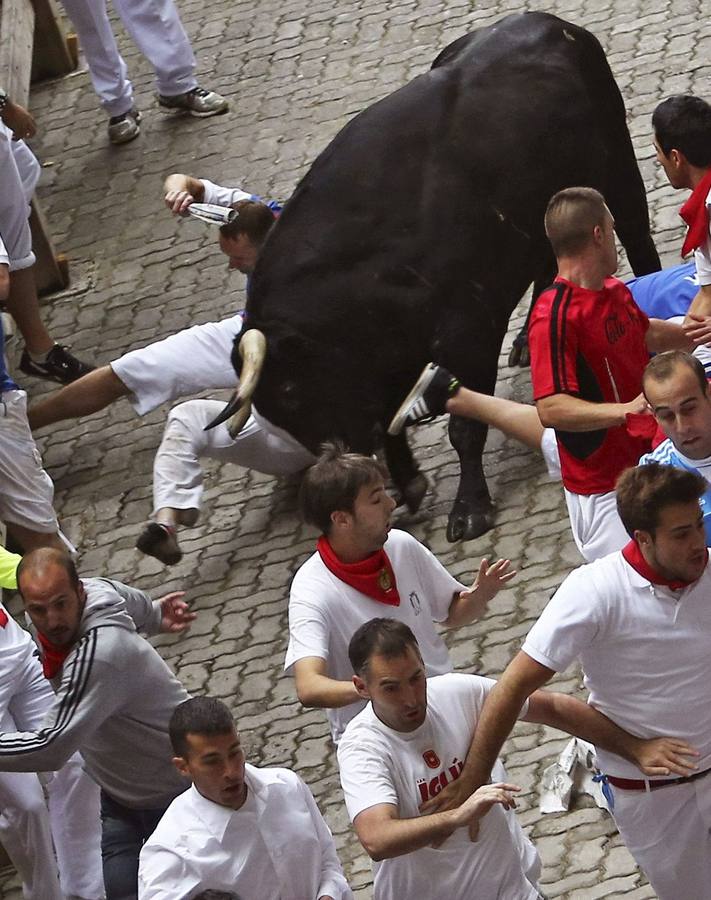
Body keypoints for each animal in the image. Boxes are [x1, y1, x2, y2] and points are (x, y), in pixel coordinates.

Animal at [227, 12, 660, 540]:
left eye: (291, 389)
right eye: (276, 405)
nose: (340, 455)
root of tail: (547, 21)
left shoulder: (466, 328)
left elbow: (463, 427)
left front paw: (469, 506)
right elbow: (392, 418)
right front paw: (410, 482)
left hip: (615, 167)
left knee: (637, 235)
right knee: (545, 265)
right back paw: (525, 341)